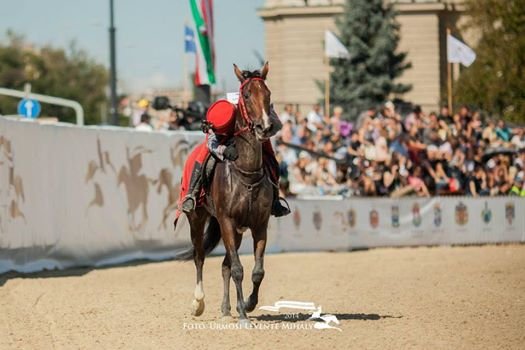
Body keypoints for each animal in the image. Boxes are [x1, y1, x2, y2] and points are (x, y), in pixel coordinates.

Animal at [177, 61, 272, 326]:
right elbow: (239, 269)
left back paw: (226, 308)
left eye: (268, 94)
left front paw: (247, 304)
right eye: (247, 95)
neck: (246, 174)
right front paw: (243, 315)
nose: (264, 127)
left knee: (224, 265)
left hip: (234, 230)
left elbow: (257, 271)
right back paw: (198, 303)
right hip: (198, 218)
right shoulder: (227, 221)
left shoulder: (260, 224)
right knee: (200, 256)